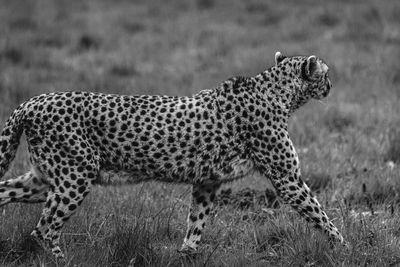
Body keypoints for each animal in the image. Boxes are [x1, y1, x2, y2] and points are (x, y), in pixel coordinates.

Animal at [0, 51, 344, 258]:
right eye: (325, 73)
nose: (331, 85)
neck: (277, 91)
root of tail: (33, 101)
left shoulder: (207, 181)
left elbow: (196, 223)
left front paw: (187, 255)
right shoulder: (288, 179)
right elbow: (319, 213)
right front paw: (343, 246)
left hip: (45, 179)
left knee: (10, 196)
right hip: (75, 178)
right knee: (45, 229)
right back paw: (62, 260)